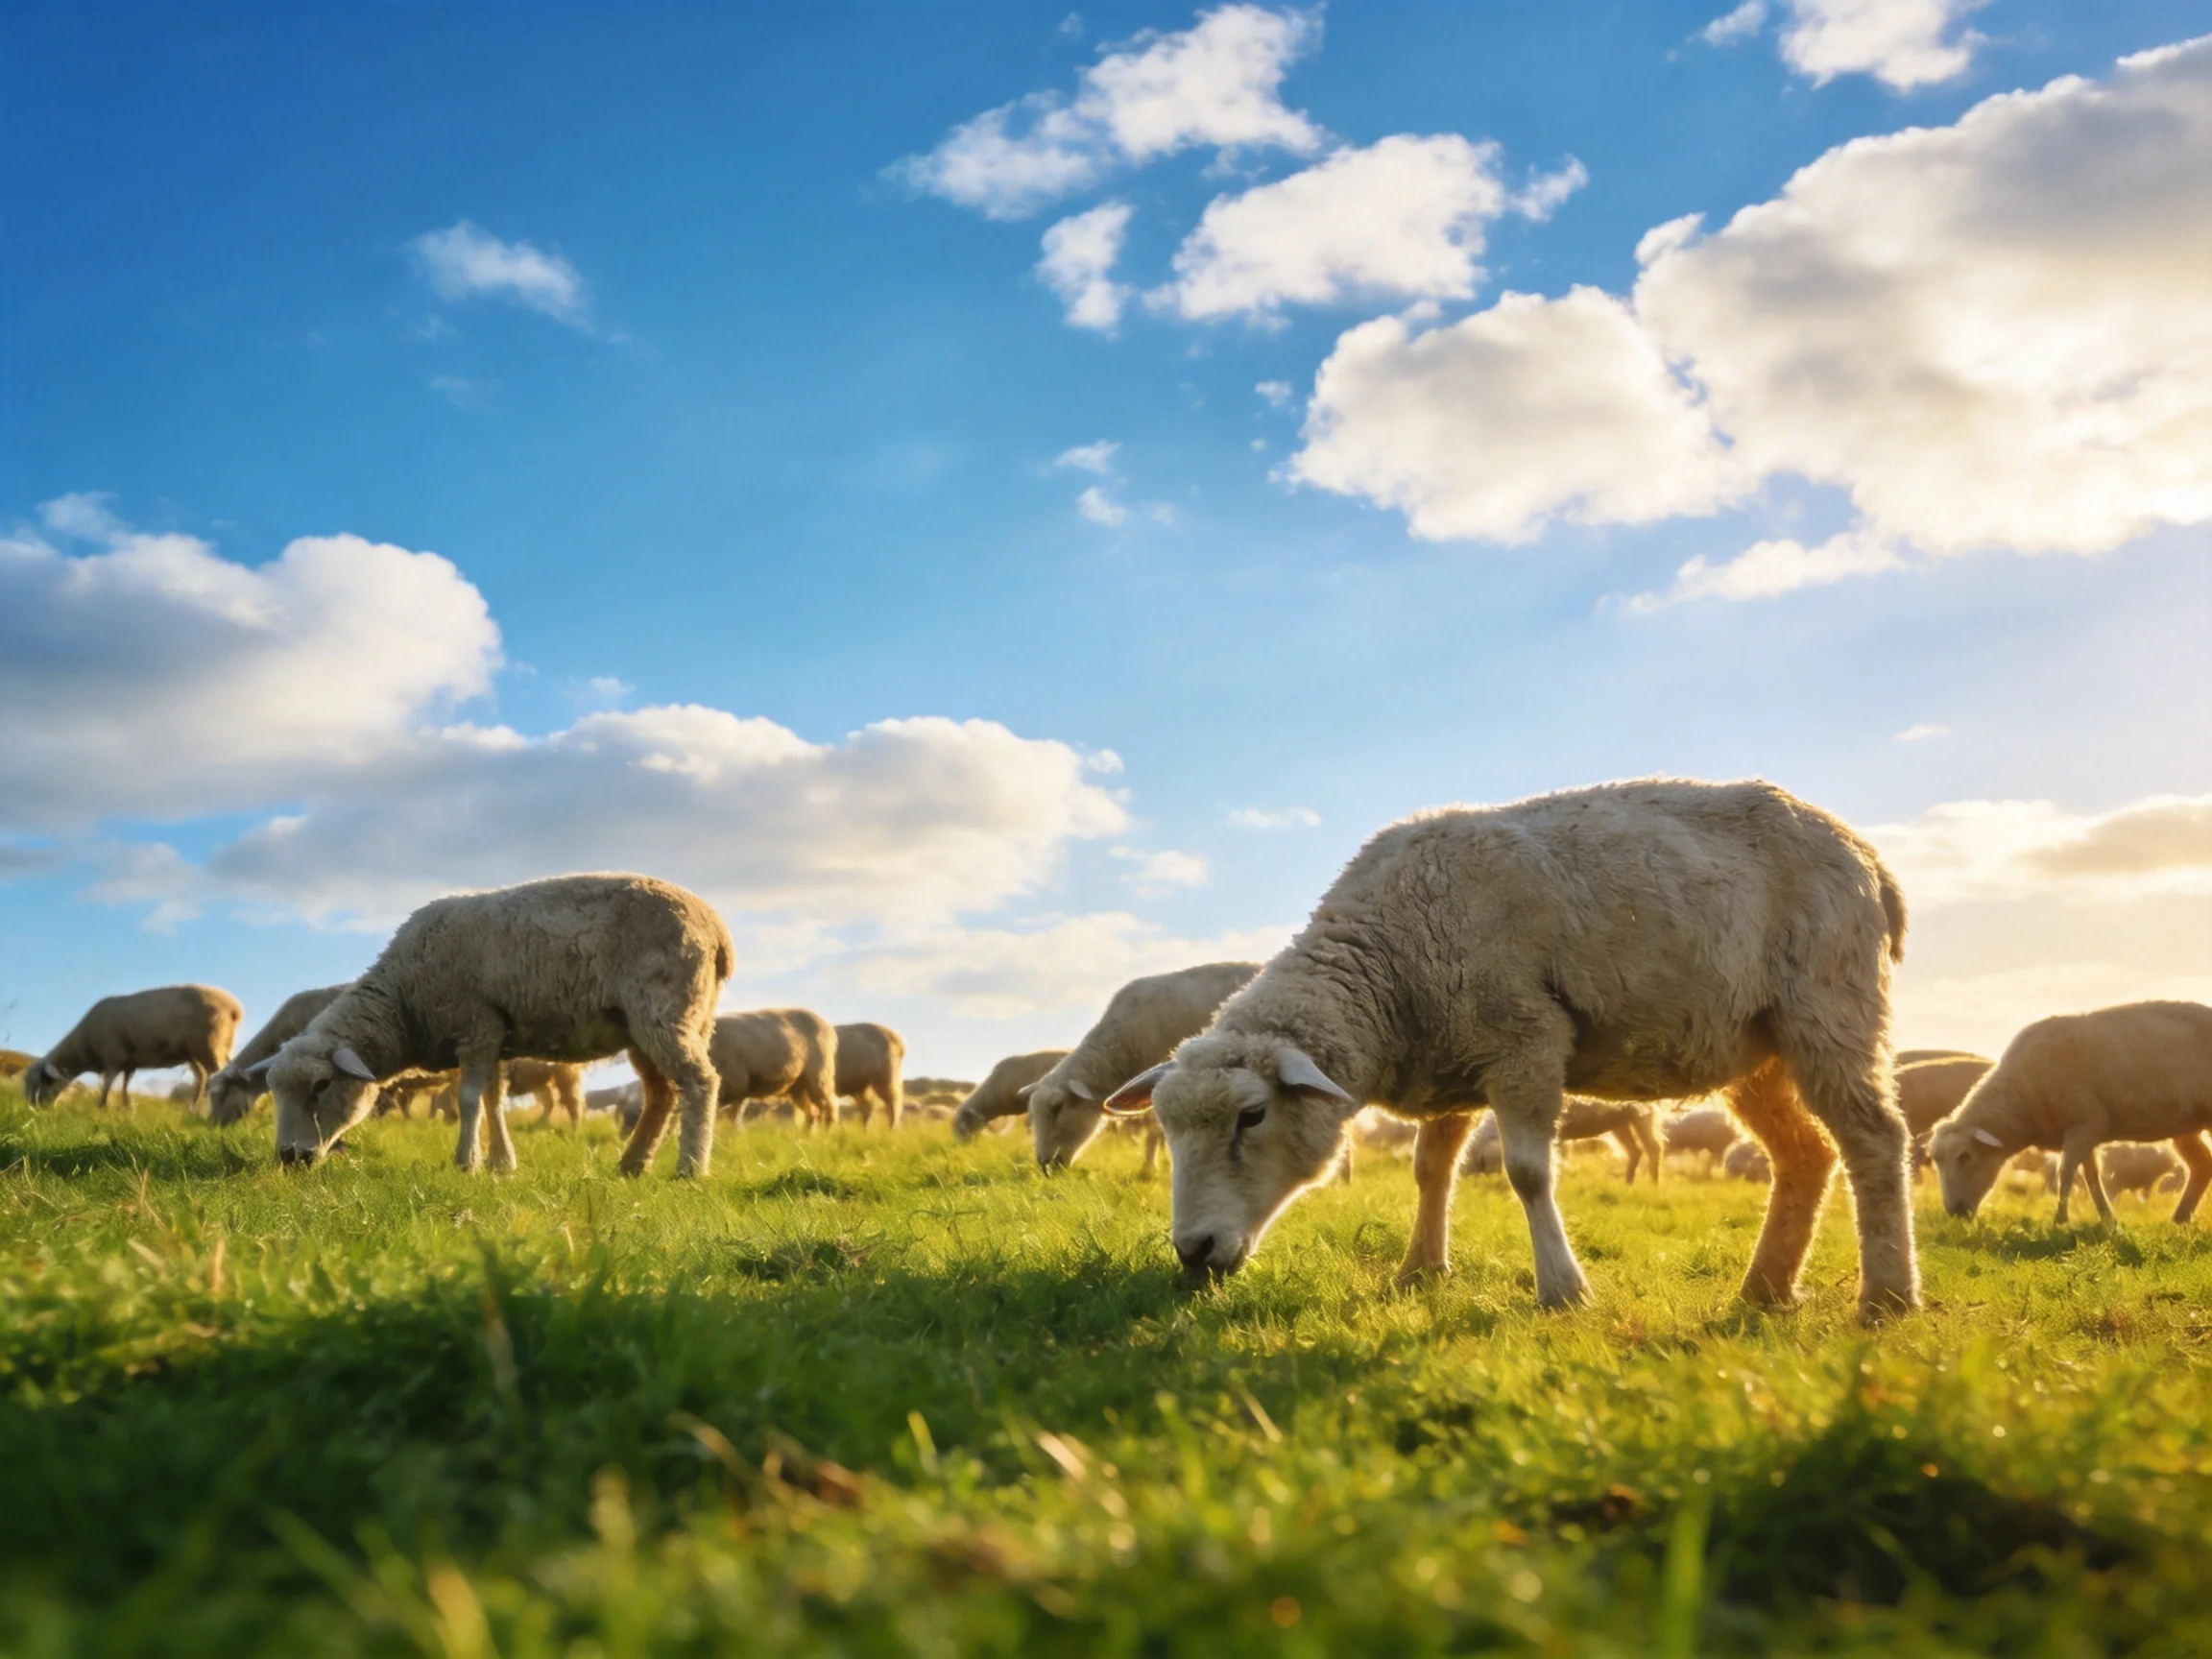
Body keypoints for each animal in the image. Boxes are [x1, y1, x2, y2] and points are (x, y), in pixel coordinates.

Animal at [23, 985, 244, 1113]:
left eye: (42, 1082)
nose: (33, 1109)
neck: (84, 1043)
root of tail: (234, 1008)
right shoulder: (129, 1061)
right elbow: (124, 1085)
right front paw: (126, 1107)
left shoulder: (113, 1057)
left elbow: (107, 1084)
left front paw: (101, 1106)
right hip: (195, 1052)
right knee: (203, 1077)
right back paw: (193, 1108)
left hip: (208, 1045)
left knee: (220, 1074)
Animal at [257, 873, 731, 1176]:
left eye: (321, 1087)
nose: (289, 1158)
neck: (405, 999)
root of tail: (716, 929)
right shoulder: (494, 1036)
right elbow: (492, 1100)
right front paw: (502, 1164)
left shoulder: (476, 1024)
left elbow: (469, 1100)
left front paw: (466, 1163)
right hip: (650, 1025)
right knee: (662, 1093)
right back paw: (633, 1164)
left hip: (665, 1009)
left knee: (699, 1082)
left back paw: (690, 1168)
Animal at [710, 1009, 839, 1129]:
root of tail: (829, 1028)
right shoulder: (740, 1089)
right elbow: (733, 1116)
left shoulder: (736, 1083)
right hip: (798, 1086)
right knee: (812, 1112)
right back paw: (806, 1135)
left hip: (819, 1075)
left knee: (829, 1107)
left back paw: (826, 1134)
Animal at [1462, 1098, 1665, 1183]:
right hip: (1619, 1120)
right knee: (1635, 1150)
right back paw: (1628, 1185)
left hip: (1641, 1113)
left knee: (1654, 1147)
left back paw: (1653, 1185)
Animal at [1929, 1000, 2212, 1226]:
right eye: (1936, 1161)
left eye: (1964, 1156)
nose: (1954, 1212)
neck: (2021, 1092)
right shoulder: (2083, 1132)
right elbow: (2090, 1177)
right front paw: (2108, 1221)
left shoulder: (2085, 1123)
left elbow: (2065, 1174)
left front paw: (2061, 1220)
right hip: (2186, 1124)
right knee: (2202, 1165)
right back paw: (2180, 1218)